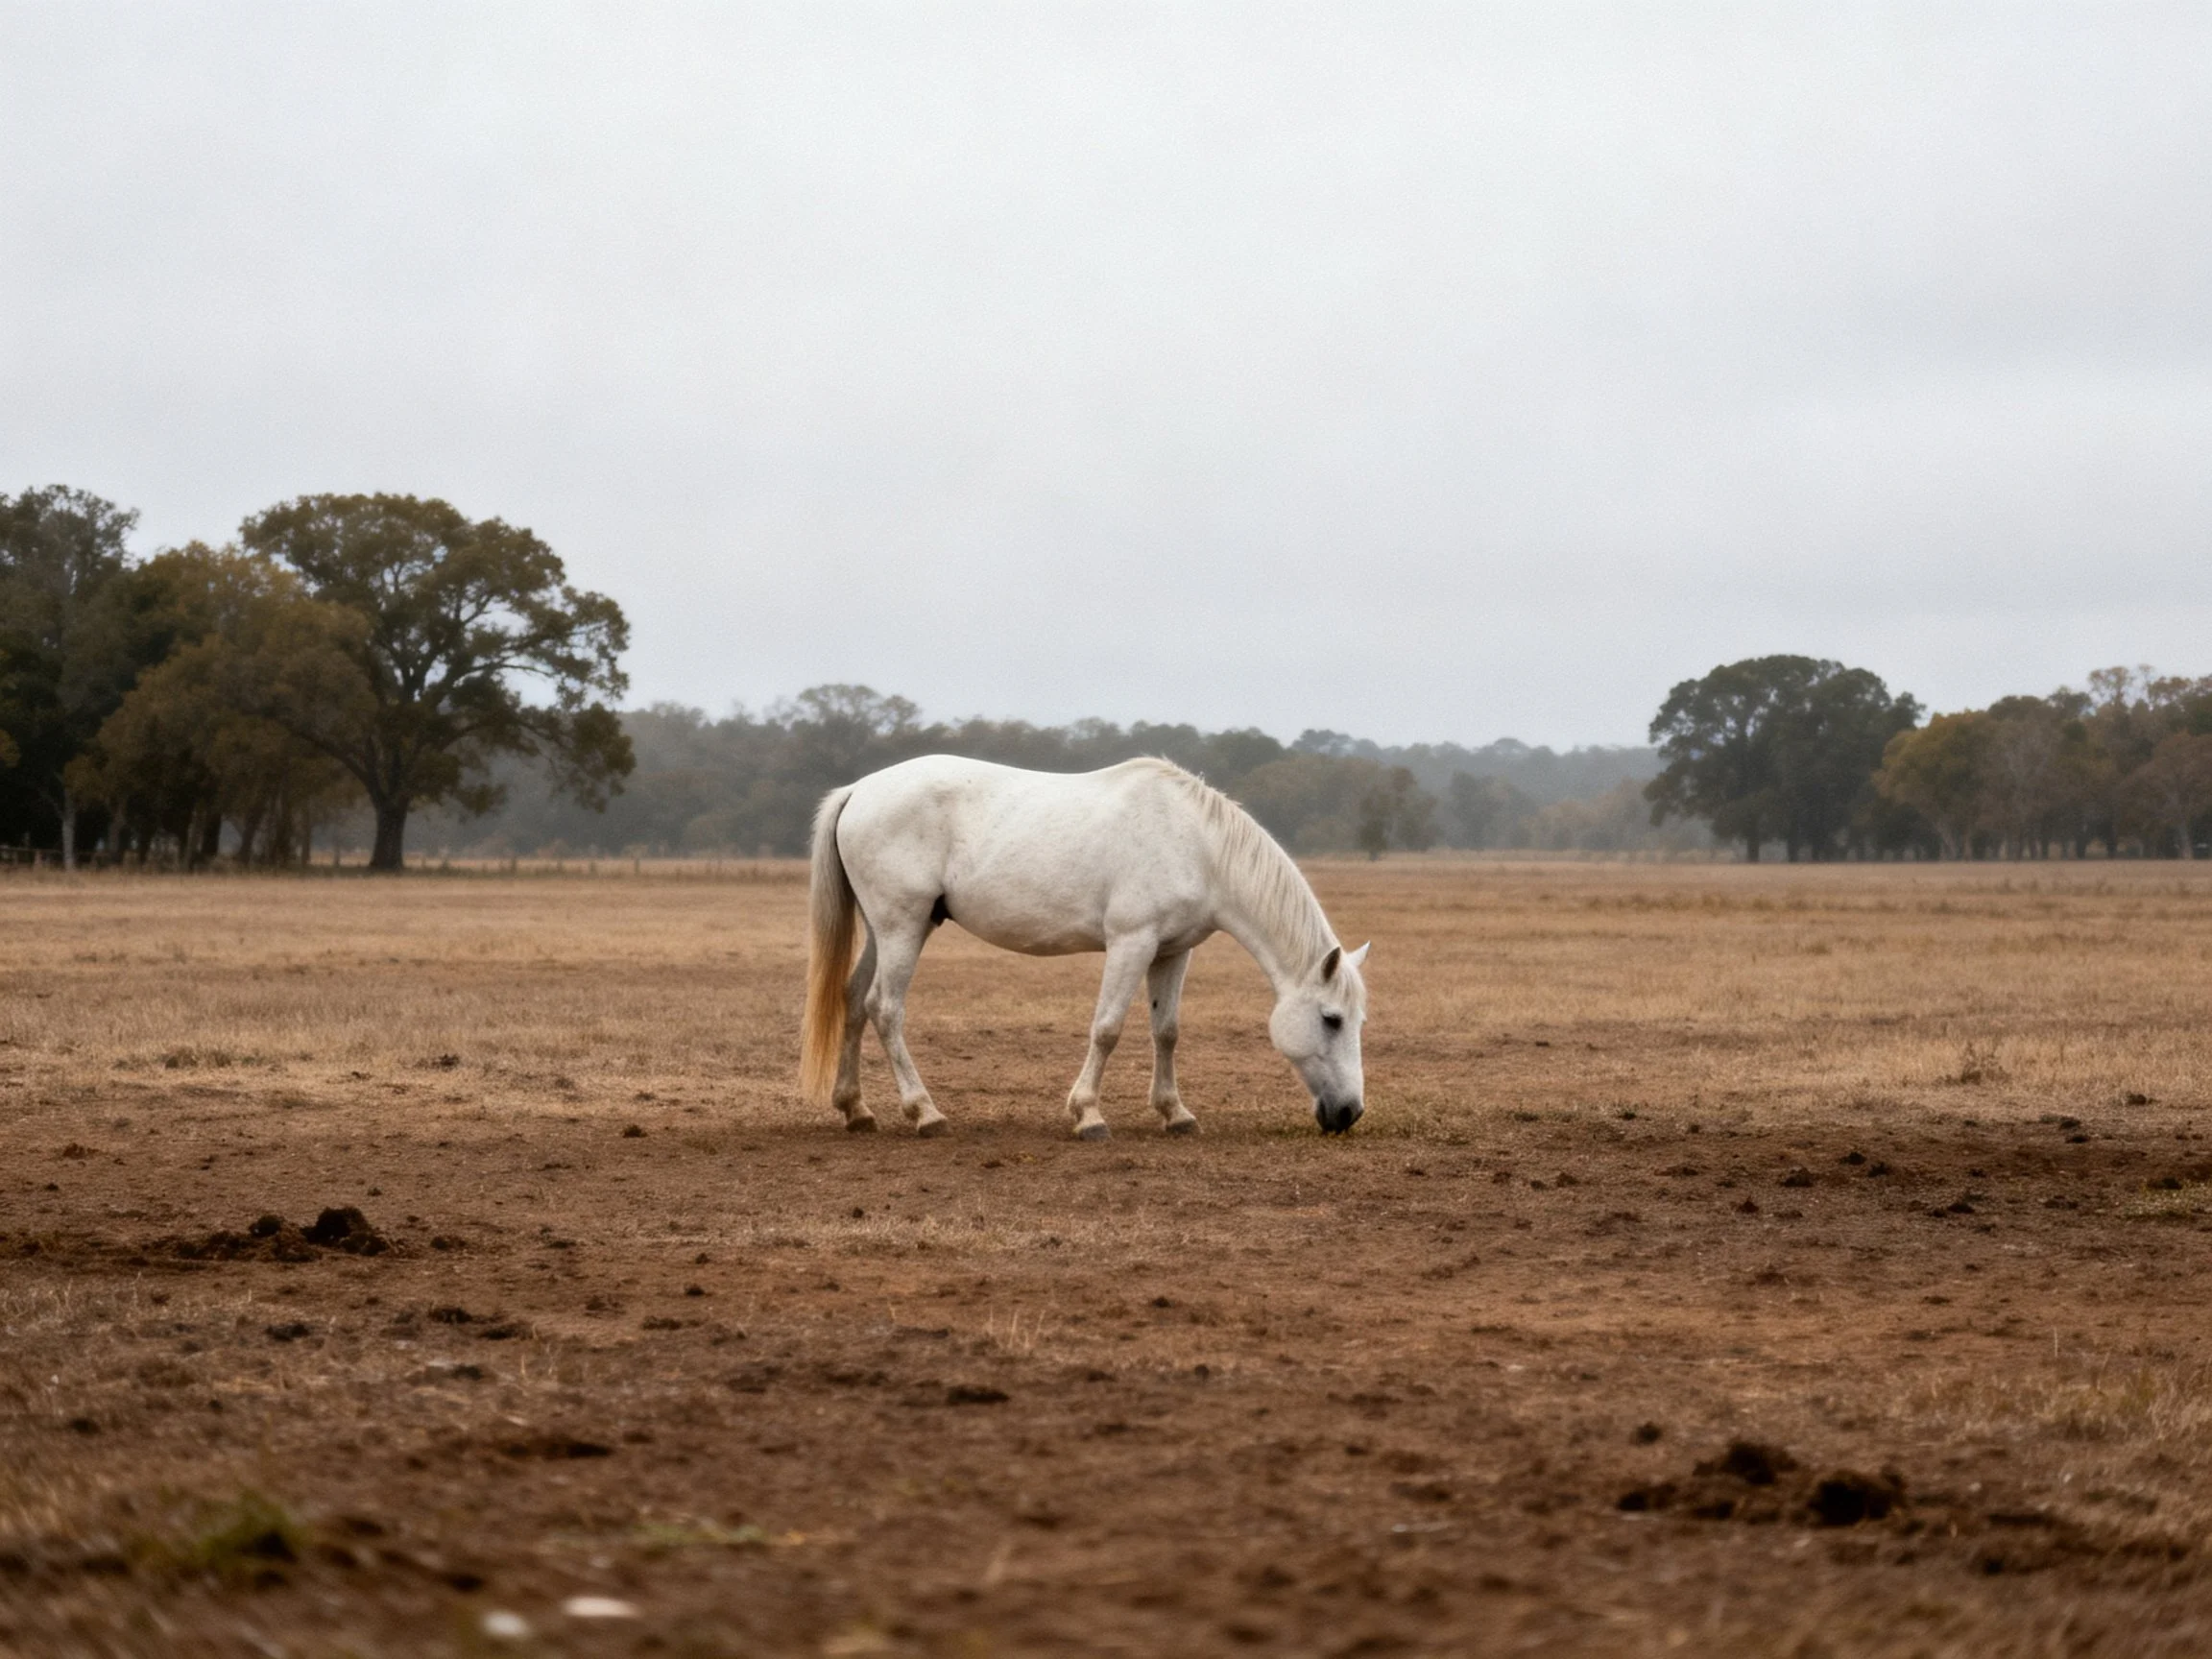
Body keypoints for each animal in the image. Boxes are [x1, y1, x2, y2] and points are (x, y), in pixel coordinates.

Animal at [801, 754, 1369, 1139]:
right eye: (1332, 1019)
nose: (1349, 1112)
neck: (1198, 846)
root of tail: (859, 790)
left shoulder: (1172, 952)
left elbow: (1166, 1032)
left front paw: (1175, 1113)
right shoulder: (1131, 943)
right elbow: (1108, 1029)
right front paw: (1089, 1114)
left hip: (888, 930)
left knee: (853, 1002)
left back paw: (856, 1109)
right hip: (903, 928)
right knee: (884, 1008)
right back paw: (925, 1112)